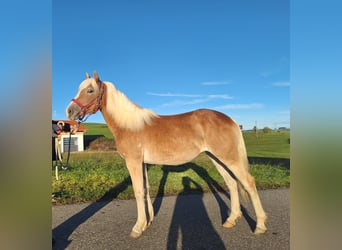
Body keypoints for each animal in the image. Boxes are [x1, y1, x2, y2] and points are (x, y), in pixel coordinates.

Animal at [66, 71, 268, 238]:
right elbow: (146, 189)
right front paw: (147, 222)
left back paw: (259, 225)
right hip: (217, 158)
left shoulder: (133, 162)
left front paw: (137, 227)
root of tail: (230, 119)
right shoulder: (142, 163)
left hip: (229, 158)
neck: (129, 125)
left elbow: (138, 191)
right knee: (232, 184)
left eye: (90, 90)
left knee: (248, 183)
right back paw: (231, 220)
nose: (70, 111)